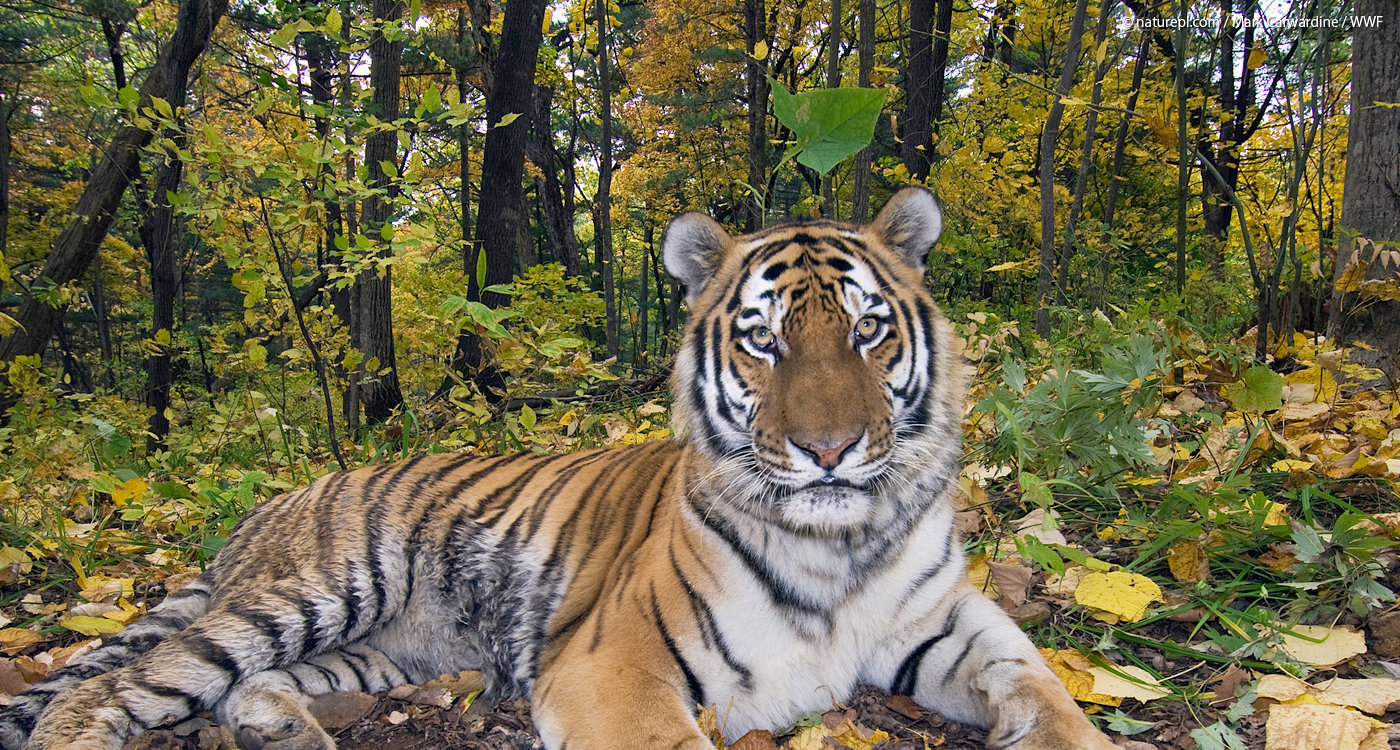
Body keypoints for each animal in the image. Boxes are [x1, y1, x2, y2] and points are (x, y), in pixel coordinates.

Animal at [0, 186, 1114, 750]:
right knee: (102, 693)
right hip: (318, 589)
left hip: (384, 655)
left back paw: (287, 734)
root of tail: (275, 500)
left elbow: (1047, 693)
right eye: (762, 341)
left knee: (240, 689)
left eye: (869, 331)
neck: (840, 539)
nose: (830, 450)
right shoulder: (613, 666)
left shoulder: (949, 623)